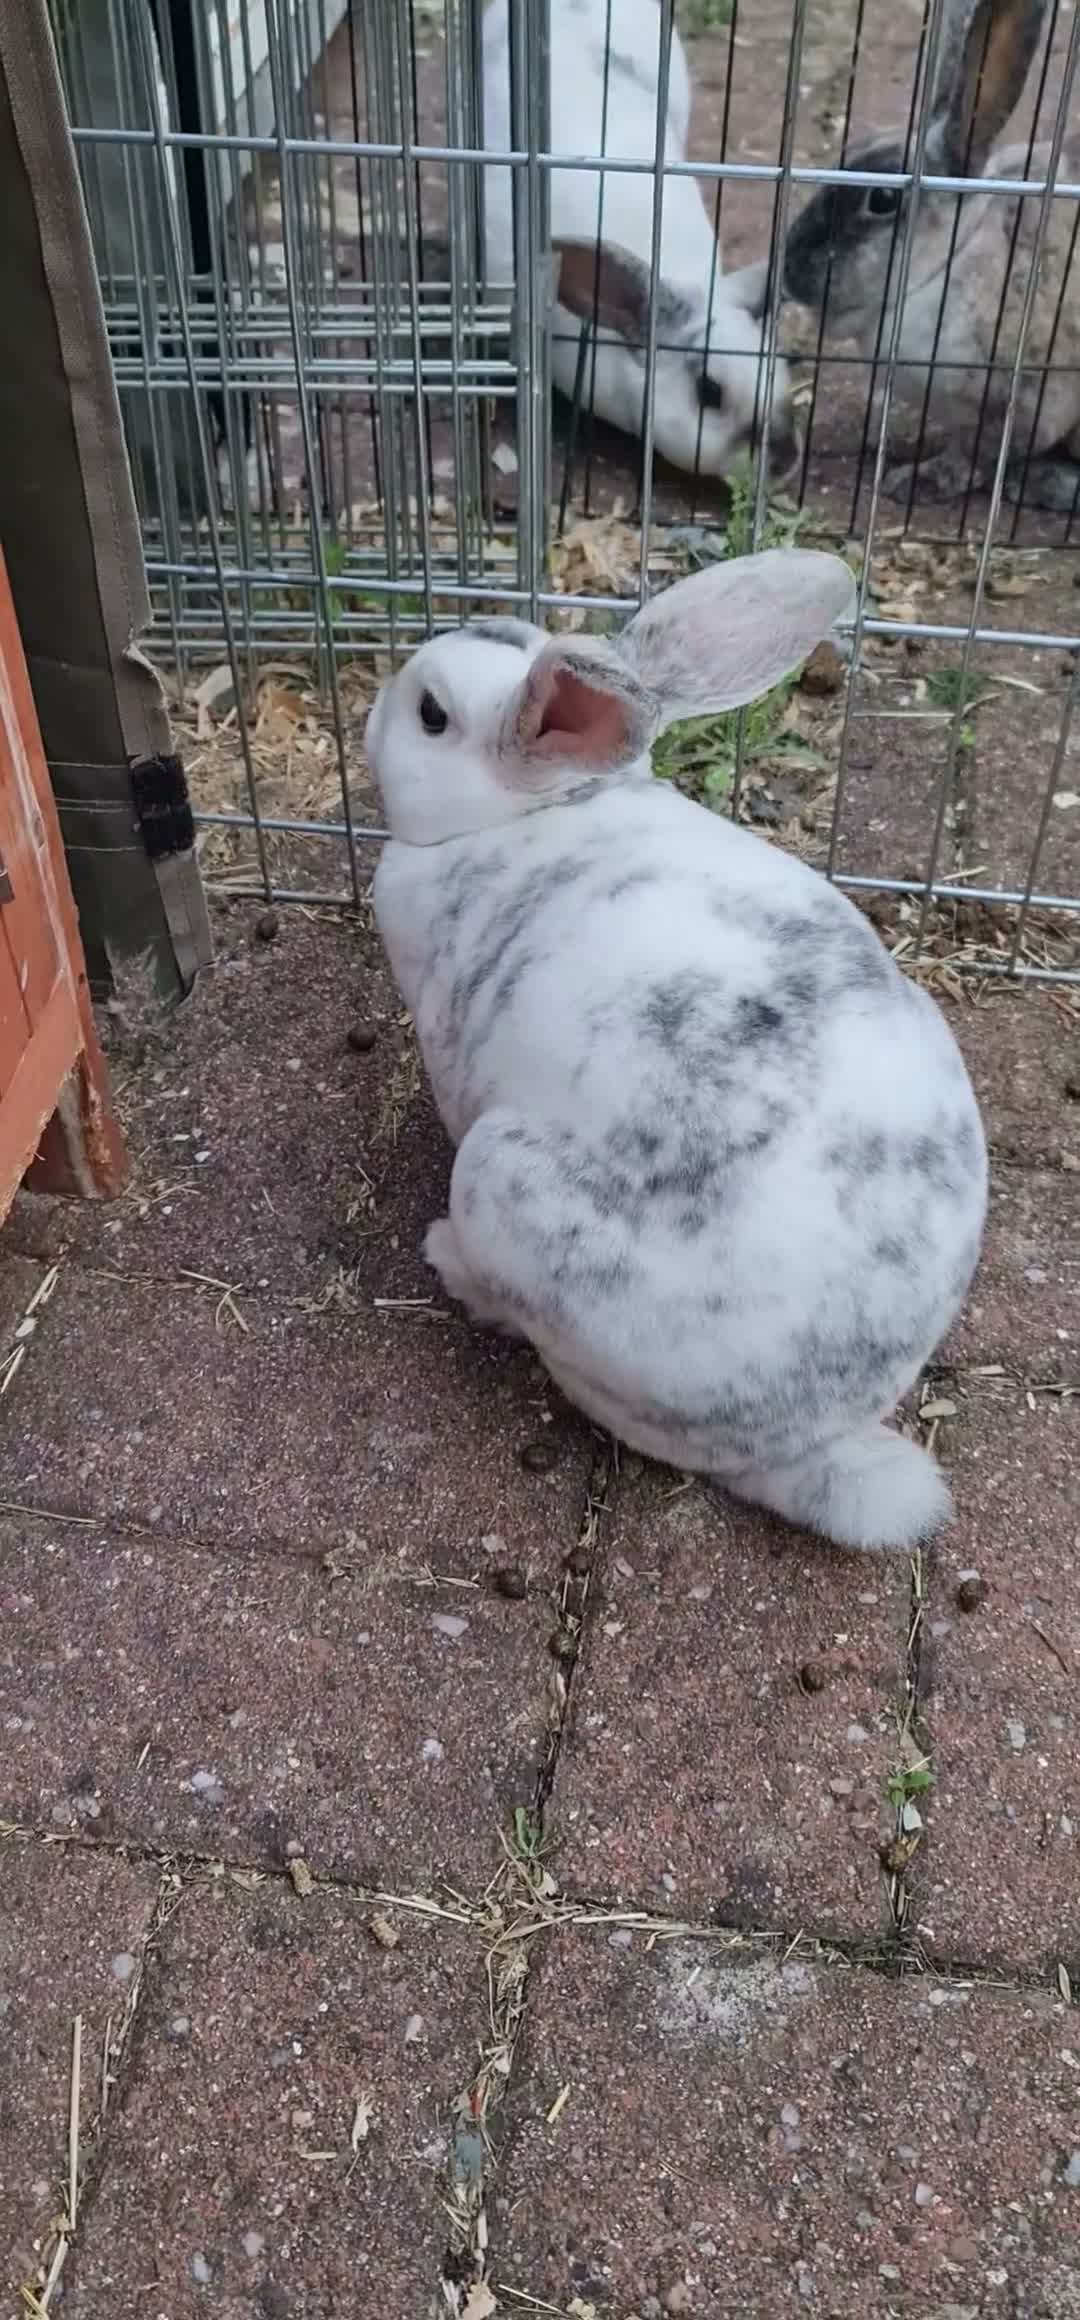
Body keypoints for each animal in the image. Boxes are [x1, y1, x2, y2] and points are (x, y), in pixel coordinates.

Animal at [366, 552, 988, 1555]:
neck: (531, 811)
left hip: (500, 1176)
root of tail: (802, 1437)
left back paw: (445, 1256)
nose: (373, 710)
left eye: (430, 714)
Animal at [782, 0, 1080, 508]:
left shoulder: (1022, 404)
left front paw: (916, 481)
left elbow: (976, 457)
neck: (953, 256)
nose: (788, 271)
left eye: (882, 199)